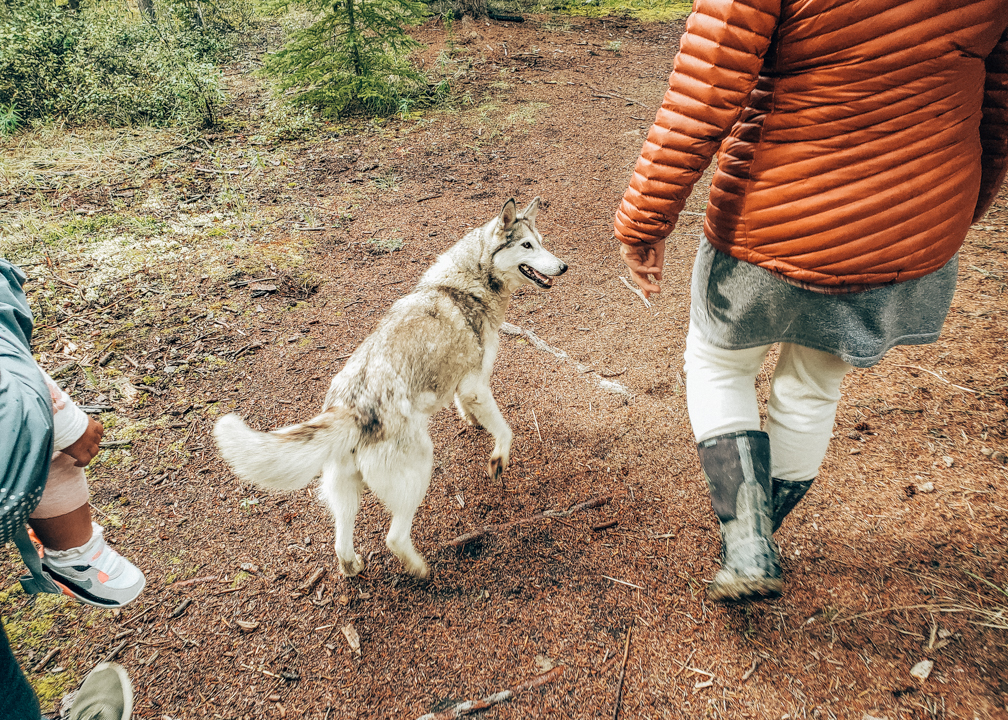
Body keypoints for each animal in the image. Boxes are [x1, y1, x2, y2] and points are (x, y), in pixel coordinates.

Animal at [214, 197, 568, 576]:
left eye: (541, 241)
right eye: (527, 246)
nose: (563, 266)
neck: (467, 284)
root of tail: (351, 408)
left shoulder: (464, 386)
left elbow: (470, 411)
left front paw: (473, 422)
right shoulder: (476, 385)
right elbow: (505, 431)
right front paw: (498, 457)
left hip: (346, 492)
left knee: (341, 545)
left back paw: (354, 567)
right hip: (420, 469)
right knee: (395, 538)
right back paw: (421, 570)